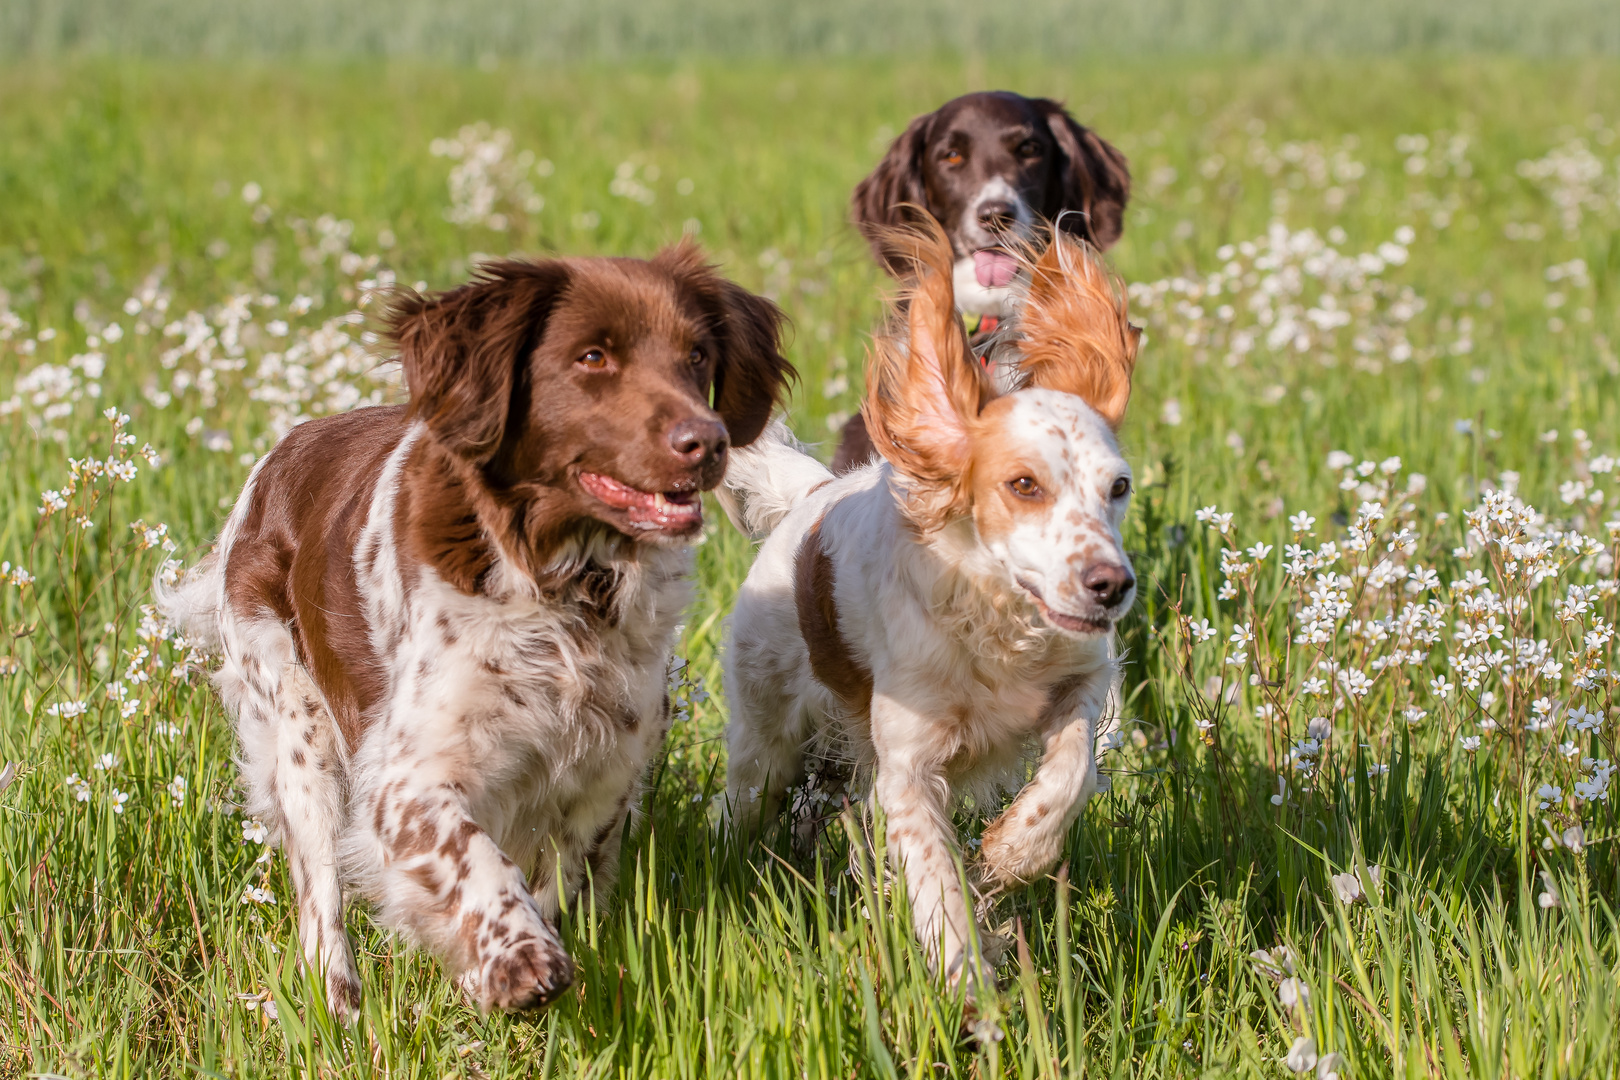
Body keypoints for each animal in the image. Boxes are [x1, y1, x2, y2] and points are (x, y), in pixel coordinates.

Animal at [722, 223, 1140, 984]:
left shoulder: (1084, 679)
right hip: (764, 739)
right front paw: (967, 981)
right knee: (738, 802)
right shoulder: (909, 766)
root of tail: (809, 498)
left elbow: (1067, 774)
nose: (1111, 584)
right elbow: (936, 883)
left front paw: (1008, 856)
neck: (995, 617)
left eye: (1117, 486)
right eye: (1024, 484)